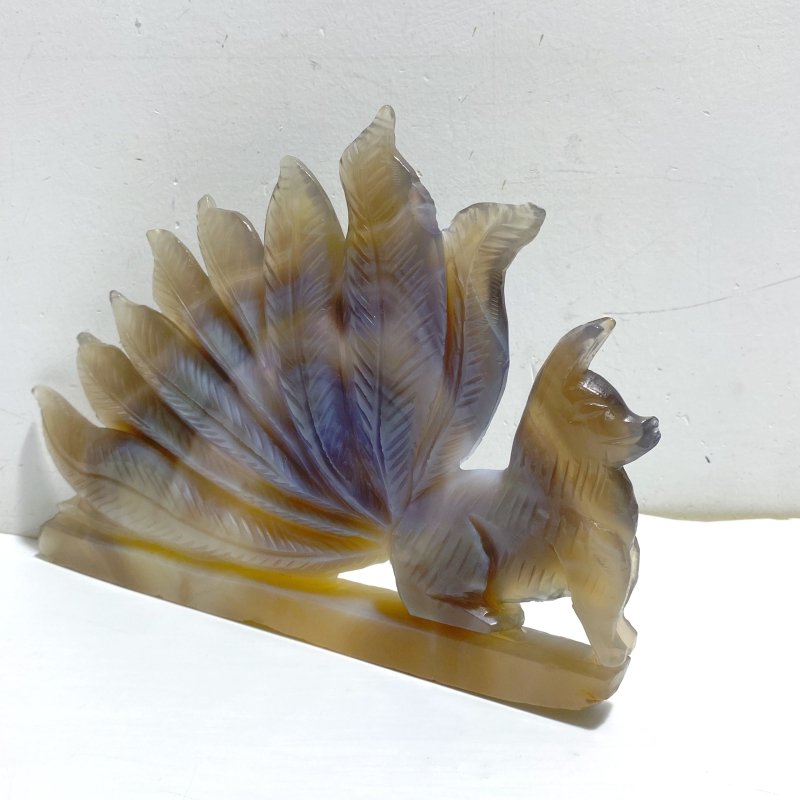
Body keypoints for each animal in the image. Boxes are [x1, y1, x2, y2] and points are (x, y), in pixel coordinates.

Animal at [391, 317, 660, 667]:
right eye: (597, 411)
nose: (652, 424)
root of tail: (408, 510)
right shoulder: (596, 584)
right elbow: (601, 623)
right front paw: (612, 659)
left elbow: (623, 623)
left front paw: (629, 646)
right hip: (470, 555)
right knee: (420, 600)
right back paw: (485, 620)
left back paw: (505, 615)